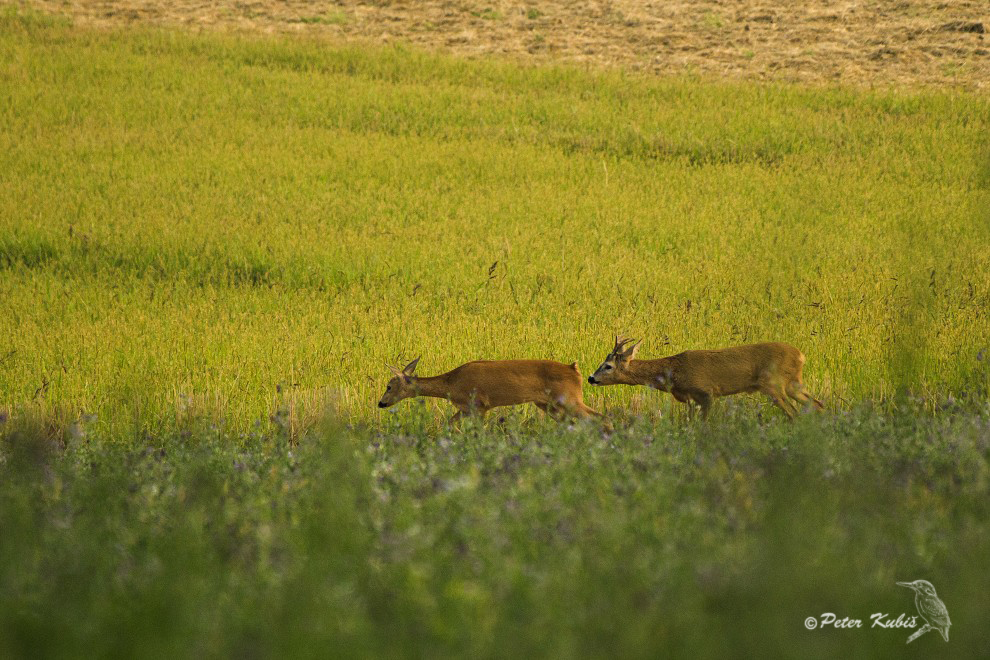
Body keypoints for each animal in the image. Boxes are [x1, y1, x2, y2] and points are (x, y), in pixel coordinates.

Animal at [378, 356, 600, 422]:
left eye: (389, 386)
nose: (381, 403)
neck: (451, 383)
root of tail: (575, 370)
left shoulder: (478, 405)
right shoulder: (467, 409)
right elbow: (449, 424)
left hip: (570, 399)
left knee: (598, 417)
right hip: (548, 404)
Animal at [588, 336, 820, 418]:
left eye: (608, 366)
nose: (591, 378)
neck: (673, 372)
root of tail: (801, 355)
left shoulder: (706, 393)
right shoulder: (691, 399)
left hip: (774, 385)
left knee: (794, 412)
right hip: (793, 383)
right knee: (817, 404)